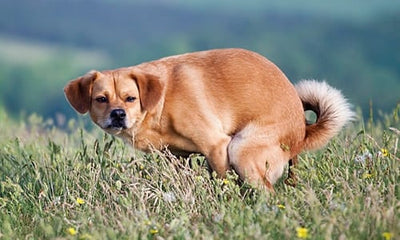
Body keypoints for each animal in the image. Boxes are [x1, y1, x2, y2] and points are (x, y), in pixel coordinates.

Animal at [64, 48, 354, 191]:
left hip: (241, 149)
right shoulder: (176, 157)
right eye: (101, 99)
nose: (118, 114)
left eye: (130, 98)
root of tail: (303, 131)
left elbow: (223, 179)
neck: (161, 101)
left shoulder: (216, 146)